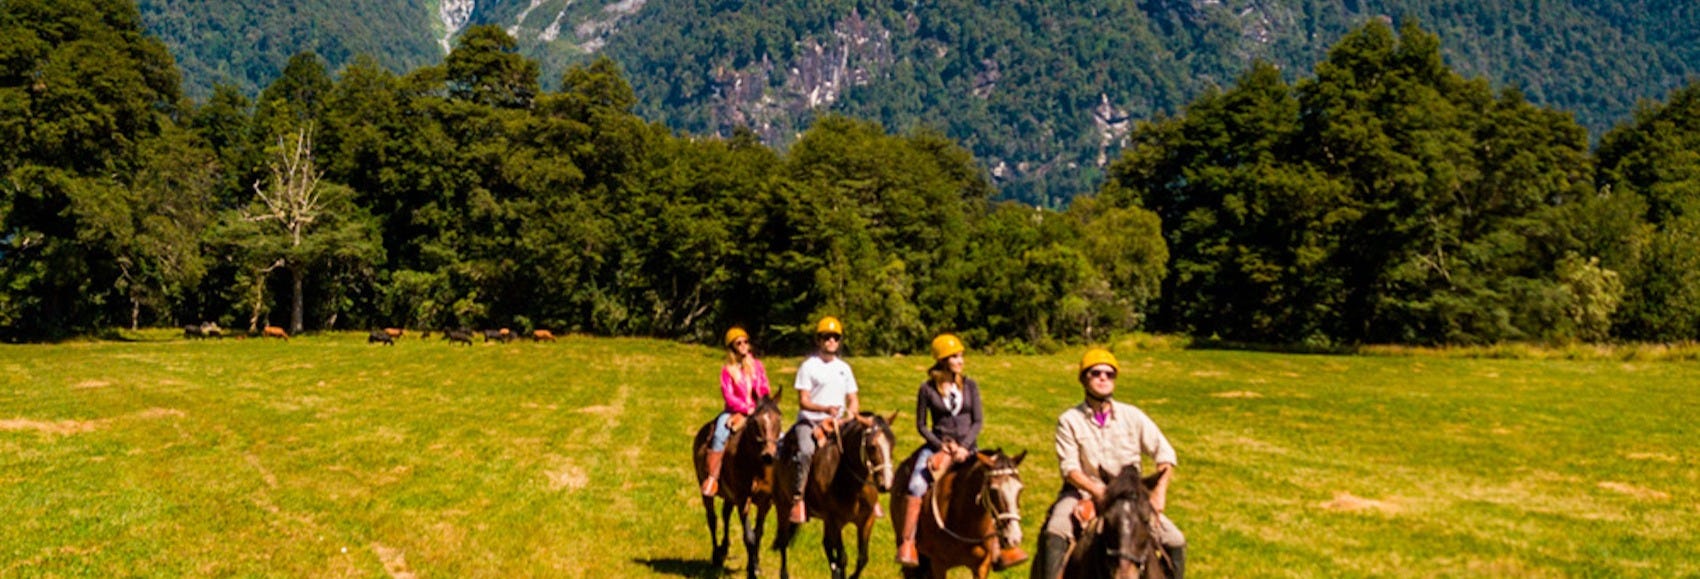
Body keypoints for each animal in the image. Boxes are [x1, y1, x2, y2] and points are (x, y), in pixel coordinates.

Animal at [693, 393, 785, 573]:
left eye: (779, 419)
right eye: (755, 421)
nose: (769, 455)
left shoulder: (766, 503)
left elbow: (758, 533)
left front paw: (756, 564)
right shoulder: (743, 500)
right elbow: (749, 536)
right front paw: (752, 567)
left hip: (730, 496)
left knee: (725, 514)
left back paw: (724, 549)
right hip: (706, 489)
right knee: (712, 519)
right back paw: (716, 555)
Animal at [775, 410, 904, 577]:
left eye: (893, 444)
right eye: (872, 446)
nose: (887, 484)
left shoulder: (867, 520)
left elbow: (862, 559)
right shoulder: (835, 521)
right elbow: (842, 558)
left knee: (826, 544)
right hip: (783, 506)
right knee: (784, 540)